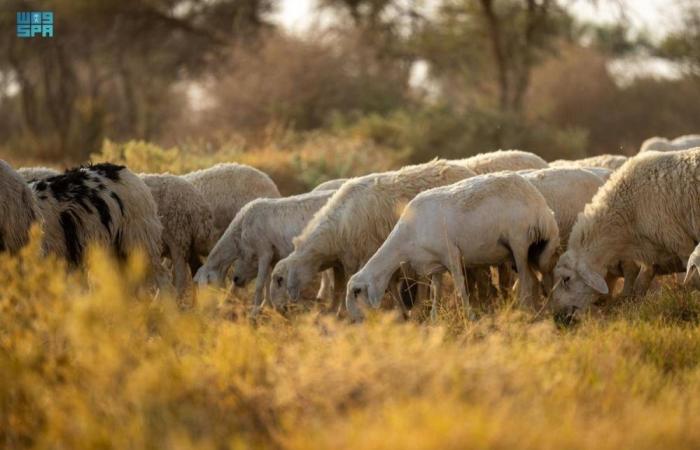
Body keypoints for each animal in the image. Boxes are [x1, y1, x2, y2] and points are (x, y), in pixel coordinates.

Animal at [270, 160, 478, 314]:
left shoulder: (365, 254)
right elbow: (341, 288)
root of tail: (467, 170)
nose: (277, 310)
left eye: (279, 279)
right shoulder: (345, 261)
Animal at [348, 171, 560, 322]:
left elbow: (460, 288)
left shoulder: (451, 255)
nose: (354, 321)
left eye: (357, 292)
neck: (405, 242)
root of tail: (543, 209)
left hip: (520, 242)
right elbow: (436, 292)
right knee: (537, 280)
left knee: (527, 281)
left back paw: (525, 313)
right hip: (532, 250)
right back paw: (539, 312)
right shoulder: (435, 265)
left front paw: (471, 317)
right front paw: (434, 320)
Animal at [552, 150, 700, 324]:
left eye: (566, 279)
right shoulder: (653, 256)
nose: (557, 317)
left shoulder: (682, 245)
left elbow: (694, 280)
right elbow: (638, 289)